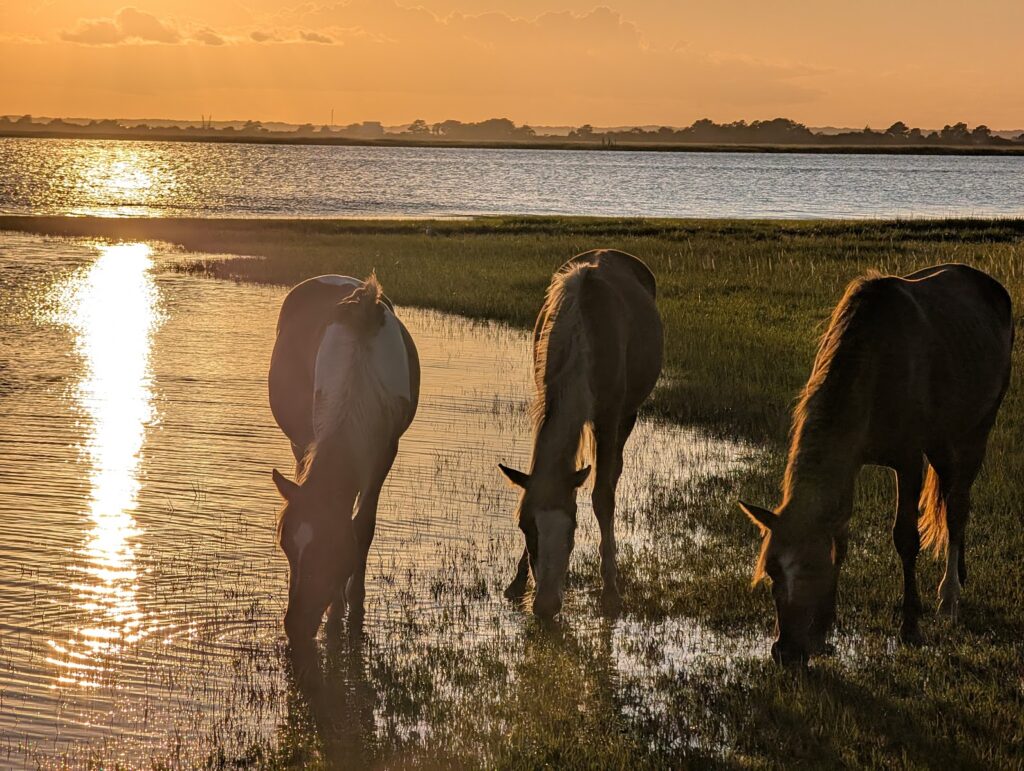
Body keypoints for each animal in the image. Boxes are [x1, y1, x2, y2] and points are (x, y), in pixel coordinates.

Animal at [268, 274, 420, 644]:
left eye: (332, 548)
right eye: (286, 546)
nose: (296, 625)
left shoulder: (385, 452)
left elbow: (362, 526)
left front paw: (353, 600)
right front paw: (337, 608)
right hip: (297, 441)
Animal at [499, 249, 663, 618]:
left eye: (573, 529)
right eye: (525, 526)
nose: (546, 606)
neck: (582, 333)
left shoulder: (608, 418)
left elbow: (602, 497)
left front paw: (611, 591)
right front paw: (517, 581)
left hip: (627, 416)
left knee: (613, 474)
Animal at [740, 264, 1012, 666]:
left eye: (810, 568)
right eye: (772, 570)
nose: (785, 652)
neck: (875, 364)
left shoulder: (909, 461)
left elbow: (906, 539)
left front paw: (911, 627)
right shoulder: (850, 459)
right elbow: (840, 538)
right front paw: (823, 631)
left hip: (975, 431)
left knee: (958, 508)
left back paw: (949, 596)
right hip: (942, 442)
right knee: (952, 498)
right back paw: (960, 575)